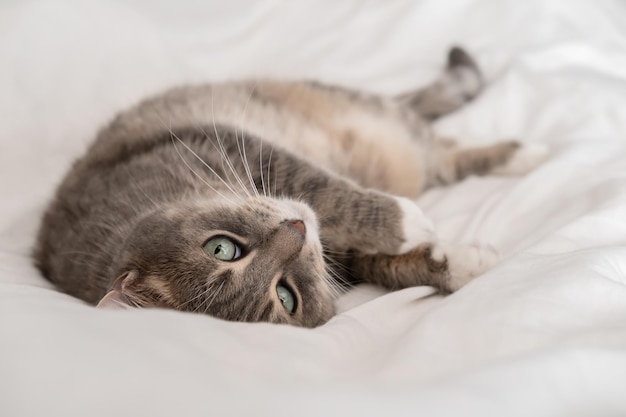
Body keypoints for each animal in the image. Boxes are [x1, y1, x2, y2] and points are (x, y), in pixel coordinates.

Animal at [33, 47, 544, 326]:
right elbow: (392, 265)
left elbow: (319, 185)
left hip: (360, 107)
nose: (297, 231)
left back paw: (528, 154)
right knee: (443, 160)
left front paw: (405, 221)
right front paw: (460, 261)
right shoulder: (339, 260)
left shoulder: (227, 144)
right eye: (285, 296)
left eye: (221, 248)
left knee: (435, 142)